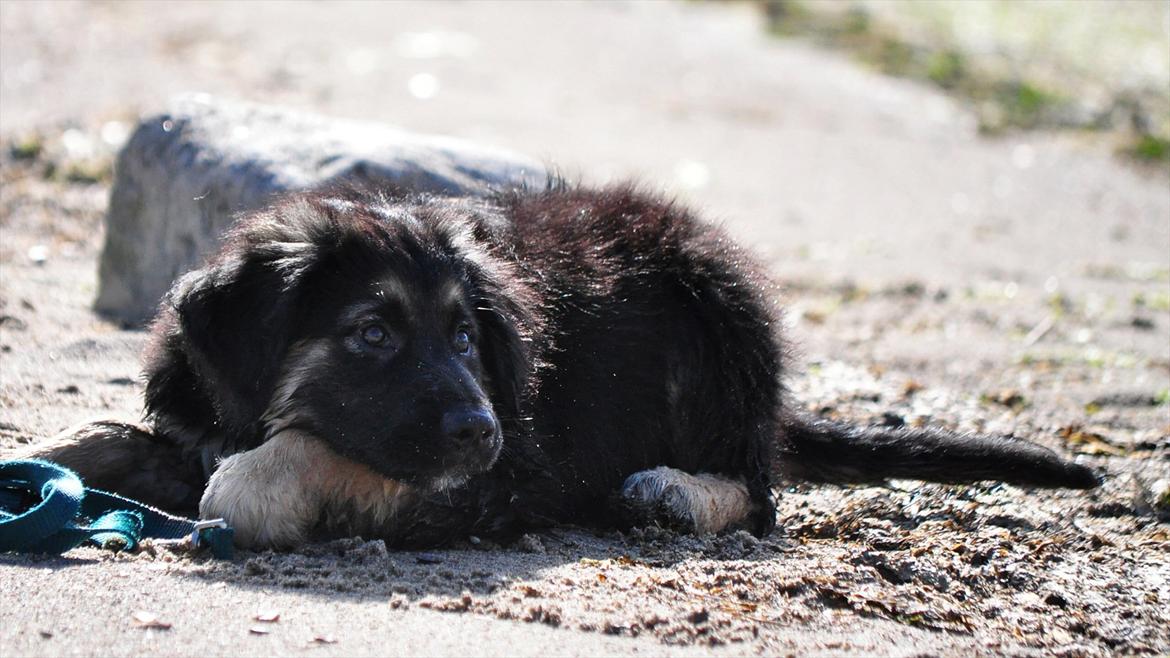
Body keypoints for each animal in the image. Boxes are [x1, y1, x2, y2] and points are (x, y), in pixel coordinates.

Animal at [25, 181, 1095, 545]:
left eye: (466, 336)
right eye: (372, 333)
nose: (481, 427)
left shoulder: (496, 476)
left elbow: (307, 457)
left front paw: (258, 484)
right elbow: (107, 434)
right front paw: (59, 456)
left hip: (722, 306)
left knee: (759, 490)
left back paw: (675, 492)